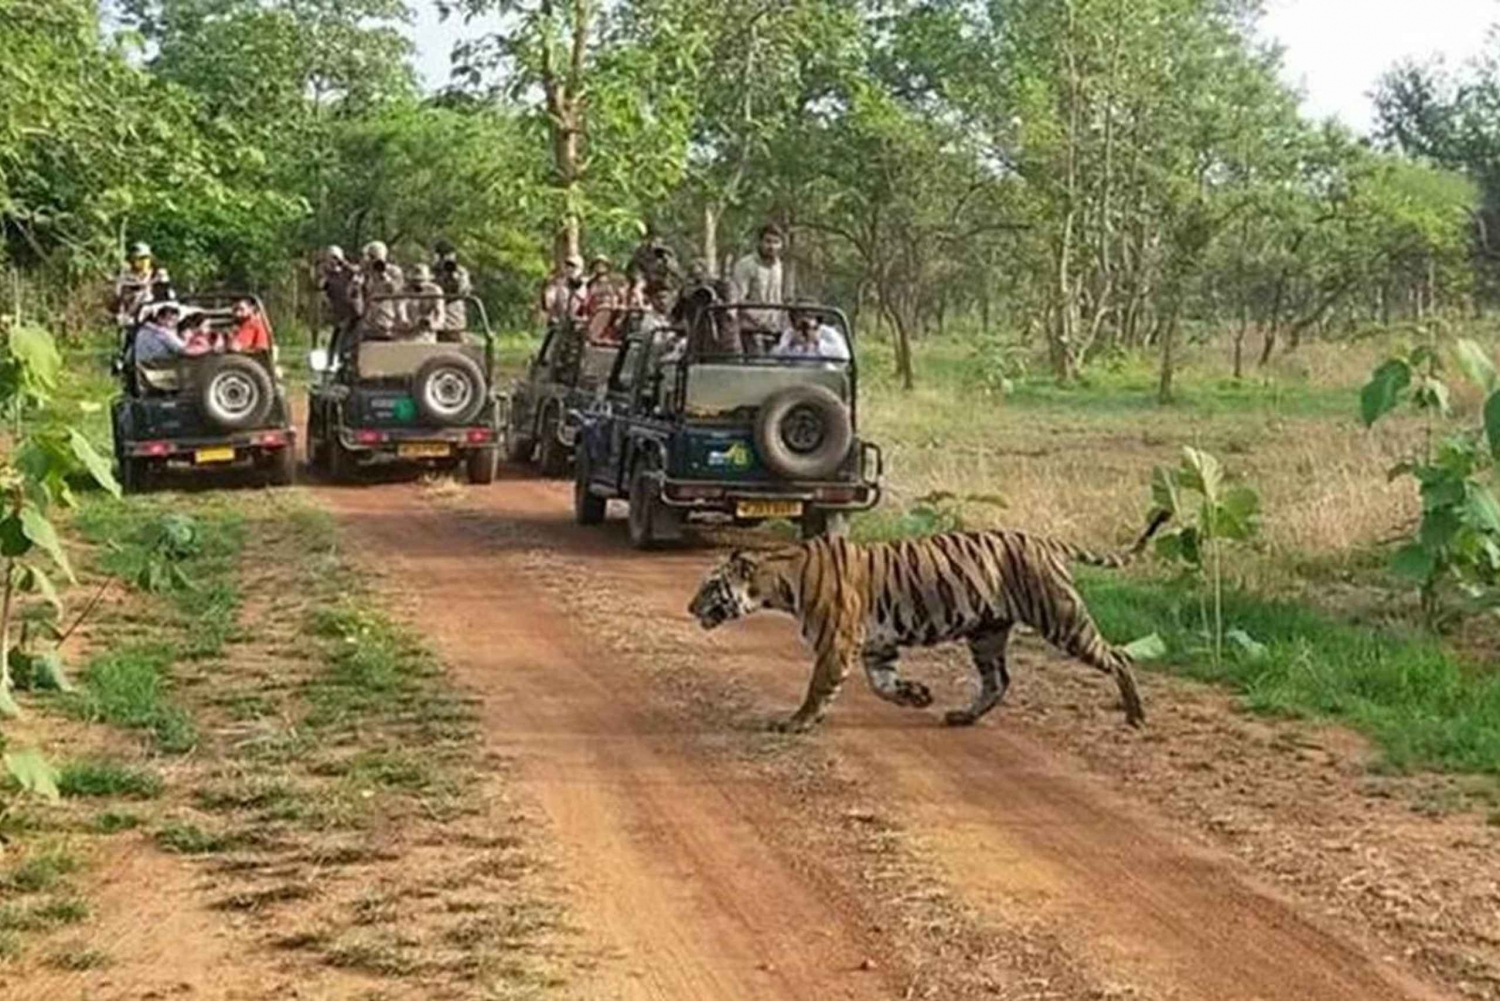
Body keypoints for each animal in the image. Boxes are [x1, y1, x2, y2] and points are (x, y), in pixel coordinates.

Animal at [684, 513, 1170, 732]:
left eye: (710, 587)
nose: (689, 608)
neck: (778, 581)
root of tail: (1044, 540)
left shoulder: (838, 642)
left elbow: (818, 688)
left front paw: (796, 722)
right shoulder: (876, 644)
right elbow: (882, 684)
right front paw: (917, 696)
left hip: (1061, 617)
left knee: (1119, 658)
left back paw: (1136, 715)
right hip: (987, 633)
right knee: (998, 680)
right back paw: (962, 716)